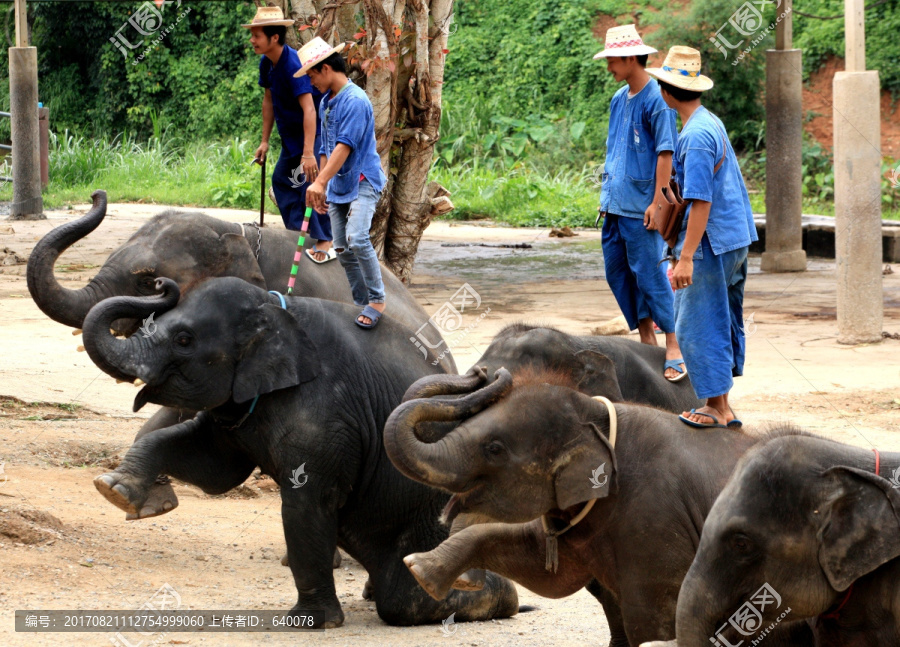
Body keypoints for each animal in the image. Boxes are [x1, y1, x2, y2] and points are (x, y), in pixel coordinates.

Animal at [81, 278, 516, 628]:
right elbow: (214, 468)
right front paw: (115, 491)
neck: (274, 307)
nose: (160, 283)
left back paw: (498, 596)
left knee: (405, 600)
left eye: (184, 339)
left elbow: (305, 501)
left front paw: (309, 623)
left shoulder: (325, 413)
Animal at [384, 370, 812, 647]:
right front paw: (423, 570)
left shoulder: (657, 522)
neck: (599, 415)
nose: (482, 371)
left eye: (494, 448)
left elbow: (654, 622)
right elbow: (548, 573)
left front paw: (423, 569)